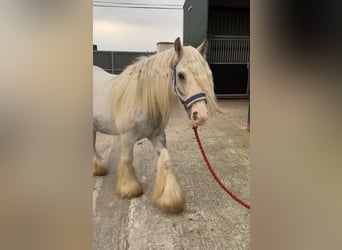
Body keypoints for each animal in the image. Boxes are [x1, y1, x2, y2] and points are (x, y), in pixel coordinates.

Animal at [92, 37, 218, 213]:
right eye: (181, 75)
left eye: (206, 74)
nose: (201, 115)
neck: (142, 98)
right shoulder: (127, 137)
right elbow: (127, 159)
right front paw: (129, 189)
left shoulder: (157, 135)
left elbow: (166, 160)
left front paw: (170, 199)